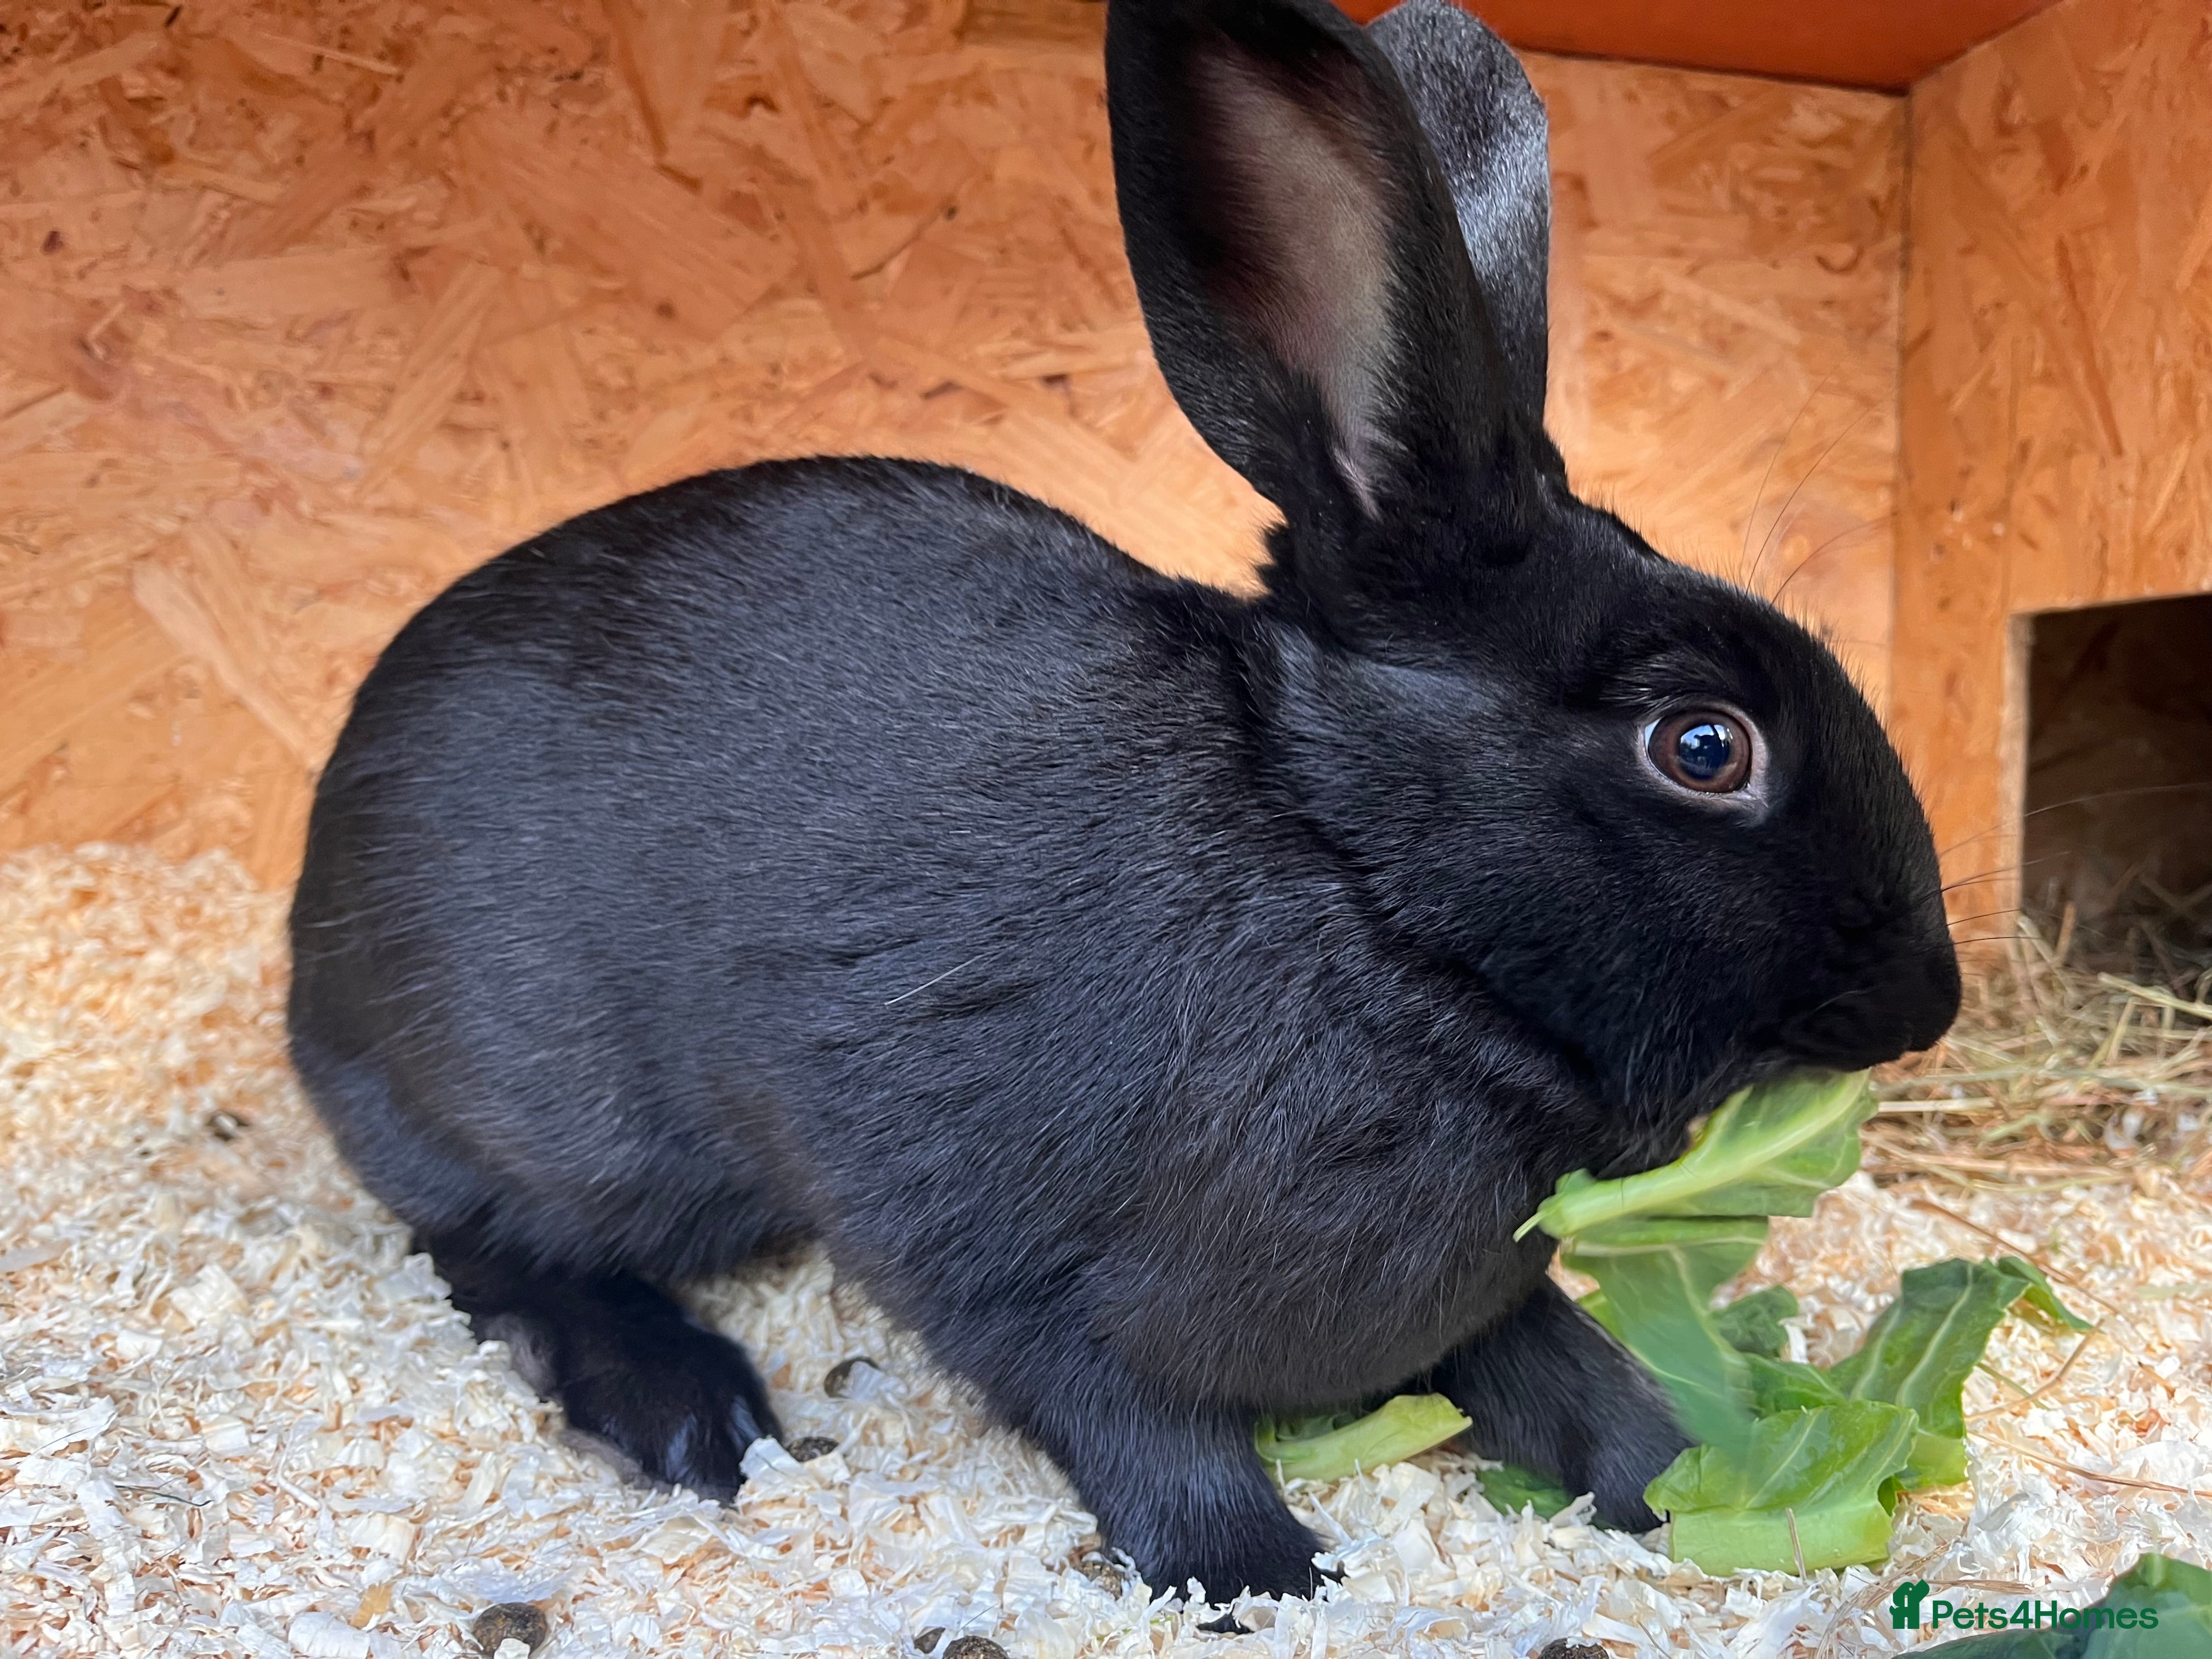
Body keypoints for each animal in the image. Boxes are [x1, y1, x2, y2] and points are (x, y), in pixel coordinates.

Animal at [286, 0, 1961, 1603]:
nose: (1928, 1000)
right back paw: (686, 1407)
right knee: (487, 1246)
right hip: (543, 1120)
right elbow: (1132, 1419)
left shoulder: (1491, 1288)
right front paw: (1256, 1574)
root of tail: (311, 936)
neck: (1370, 906)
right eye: (1704, 746)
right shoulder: (1000, 1260)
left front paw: (1692, 1493)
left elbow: (1570, 1375)